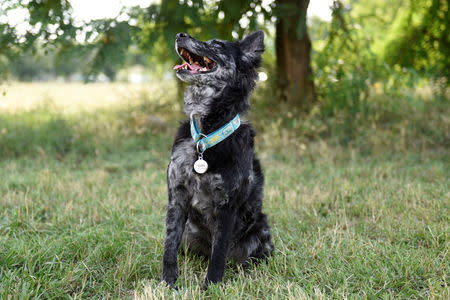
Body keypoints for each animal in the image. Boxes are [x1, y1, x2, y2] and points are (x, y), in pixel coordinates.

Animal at [163, 30, 274, 288]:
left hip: (261, 229)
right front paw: (168, 282)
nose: (180, 34)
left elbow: (219, 252)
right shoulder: (177, 197)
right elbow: (169, 245)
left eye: (217, 45)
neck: (205, 135)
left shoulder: (227, 205)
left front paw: (211, 285)